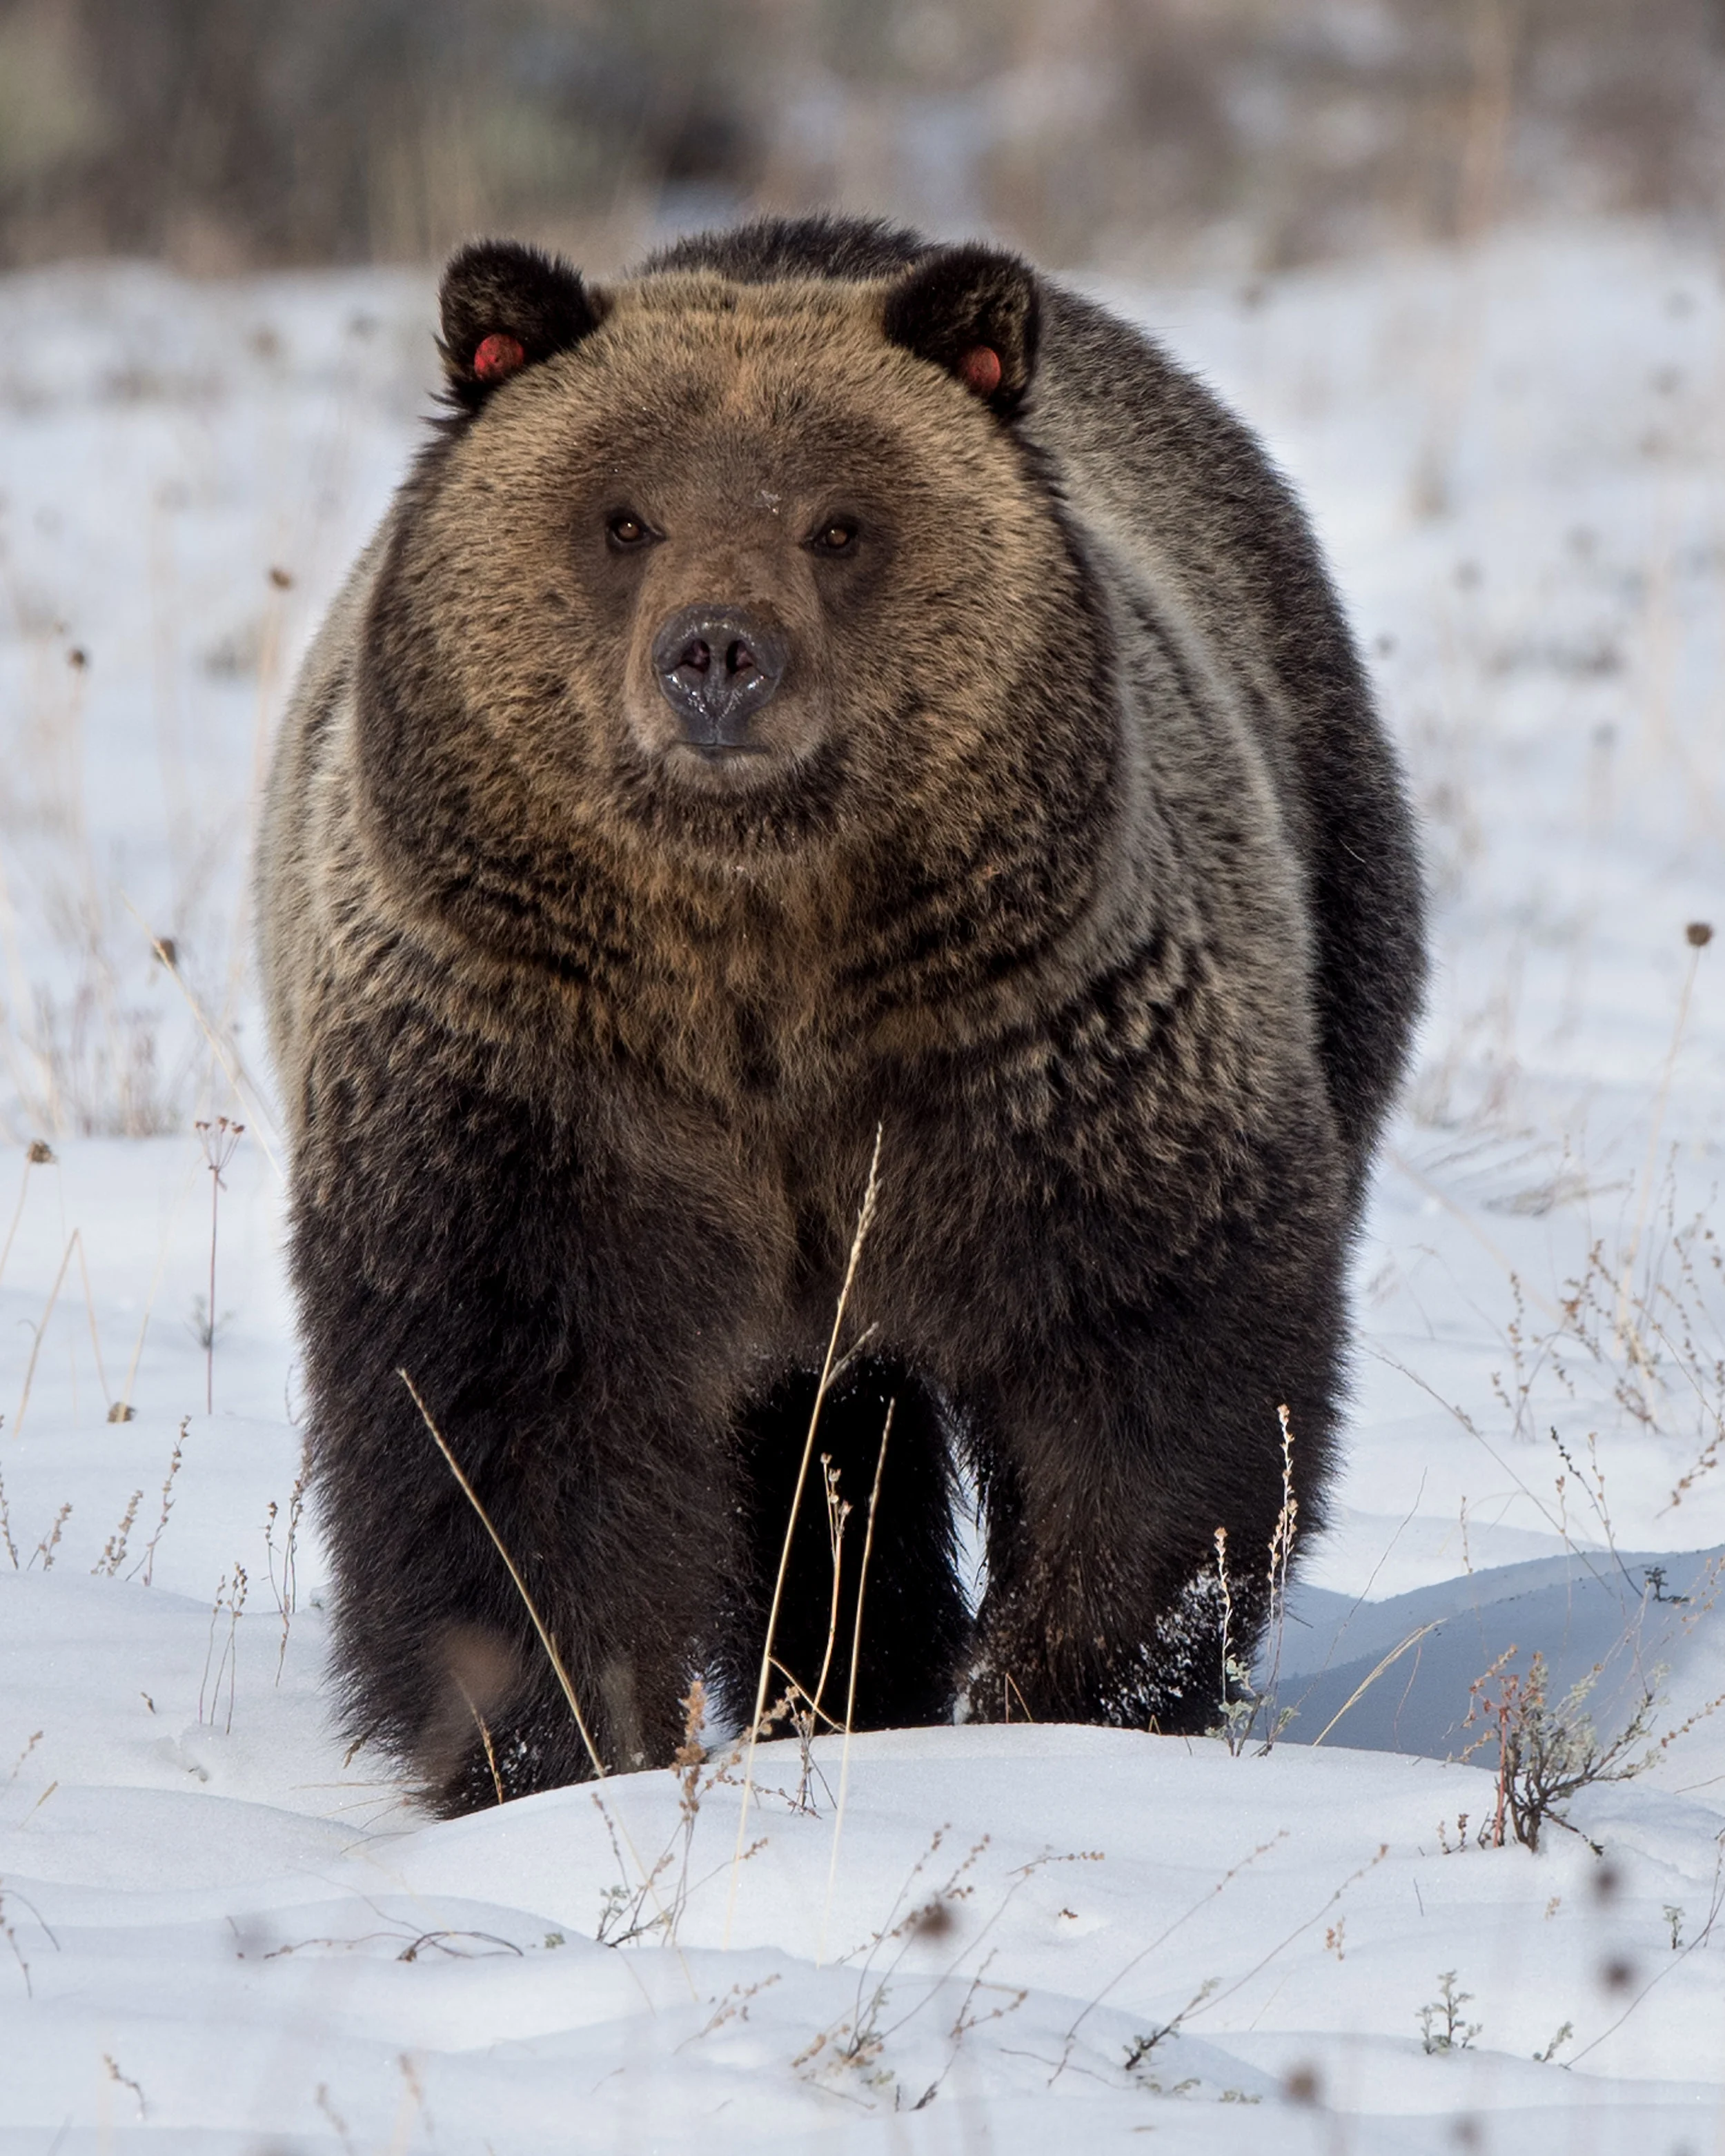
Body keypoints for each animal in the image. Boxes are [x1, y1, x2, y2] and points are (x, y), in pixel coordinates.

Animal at [257, 214, 1424, 1815]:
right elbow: (511, 1421)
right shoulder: (528, 1070)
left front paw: (1066, 1700)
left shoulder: (1039, 1050)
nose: (717, 654)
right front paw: (560, 1748)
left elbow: (1149, 1372)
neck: (764, 961)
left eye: (837, 526)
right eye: (624, 519)